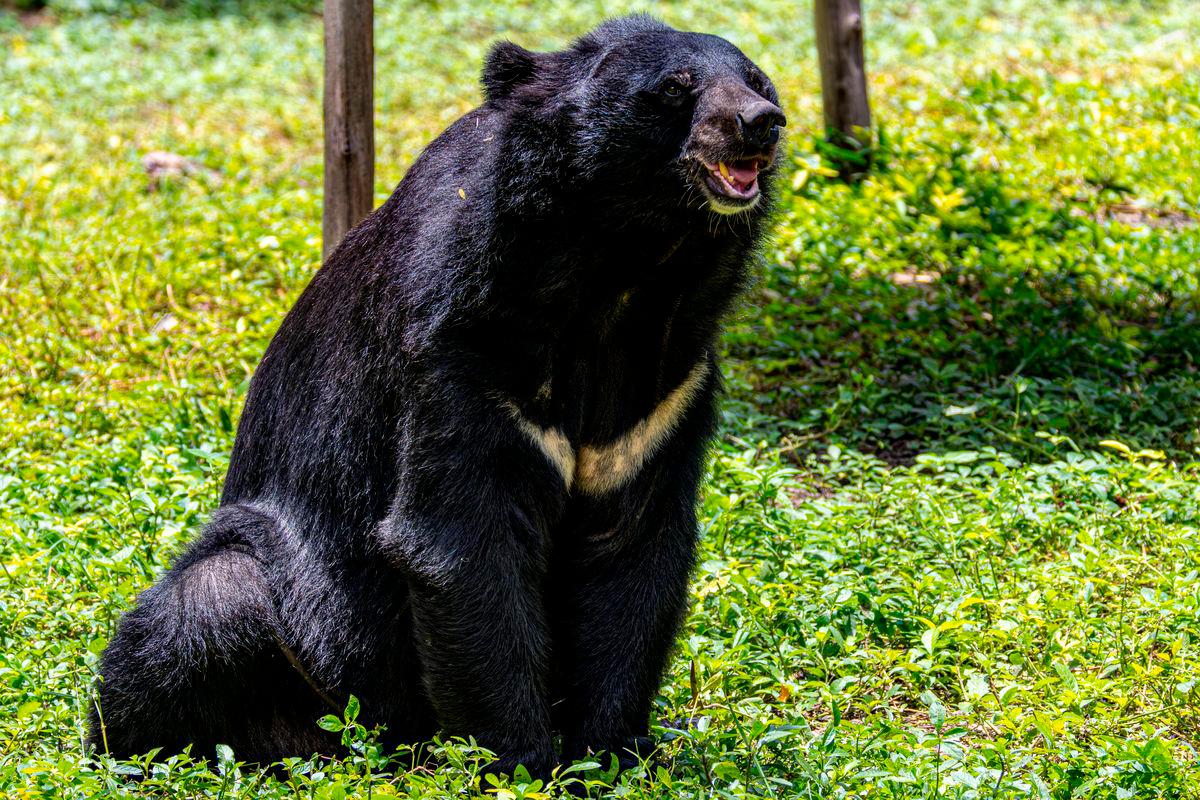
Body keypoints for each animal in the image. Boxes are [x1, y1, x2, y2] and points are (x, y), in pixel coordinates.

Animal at [89, 14, 785, 779]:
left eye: (757, 80)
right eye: (674, 88)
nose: (760, 124)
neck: (625, 272)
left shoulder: (665, 390)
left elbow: (633, 546)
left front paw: (611, 754)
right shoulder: (463, 345)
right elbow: (462, 539)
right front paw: (522, 764)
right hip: (303, 622)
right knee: (200, 613)